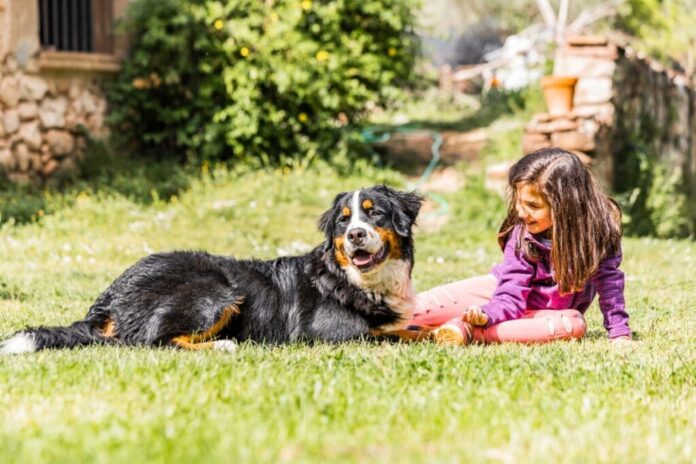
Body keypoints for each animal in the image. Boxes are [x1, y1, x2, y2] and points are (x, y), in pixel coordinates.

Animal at [1, 183, 424, 354]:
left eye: (375, 214)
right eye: (343, 220)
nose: (355, 236)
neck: (357, 280)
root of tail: (111, 292)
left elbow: (408, 328)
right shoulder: (330, 334)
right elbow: (399, 335)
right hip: (216, 291)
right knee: (151, 342)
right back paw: (222, 344)